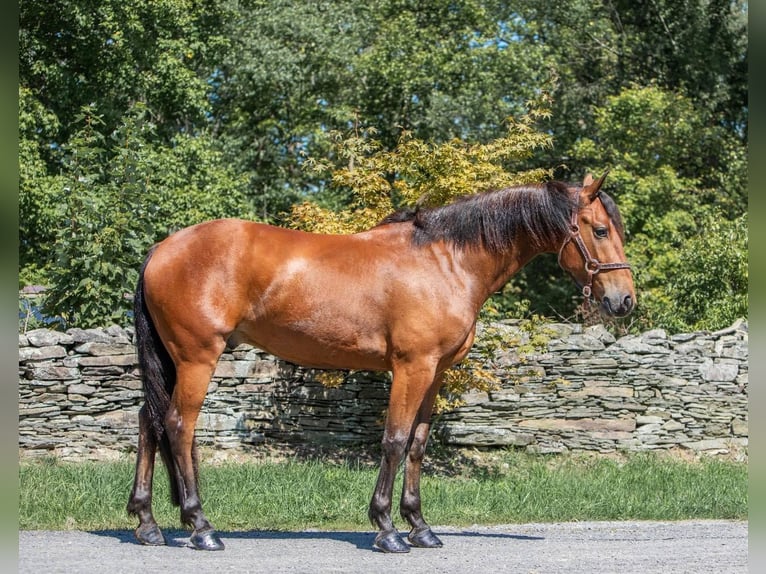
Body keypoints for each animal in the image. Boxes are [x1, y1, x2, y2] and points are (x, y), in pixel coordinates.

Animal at [126, 171, 636, 552]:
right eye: (599, 230)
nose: (624, 301)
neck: (446, 261)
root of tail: (161, 249)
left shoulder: (436, 373)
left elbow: (417, 444)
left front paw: (420, 527)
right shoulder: (412, 367)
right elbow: (393, 439)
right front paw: (387, 529)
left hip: (172, 359)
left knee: (149, 421)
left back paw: (148, 524)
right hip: (197, 357)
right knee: (178, 425)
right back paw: (201, 526)